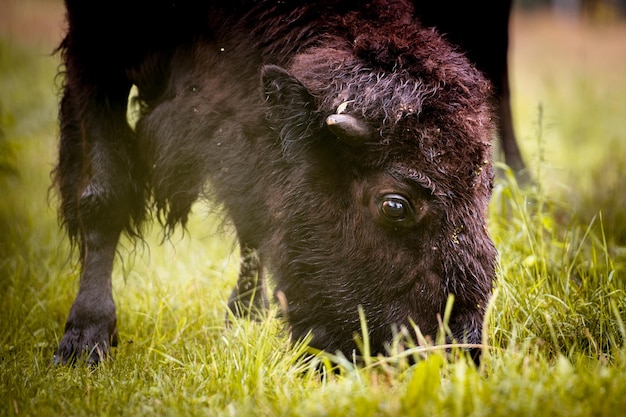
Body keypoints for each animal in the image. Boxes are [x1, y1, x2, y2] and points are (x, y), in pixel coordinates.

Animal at [52, 0, 492, 364]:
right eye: (395, 205)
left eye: (487, 186)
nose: (457, 350)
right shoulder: (95, 57)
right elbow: (105, 195)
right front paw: (84, 341)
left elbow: (251, 216)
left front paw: (245, 317)